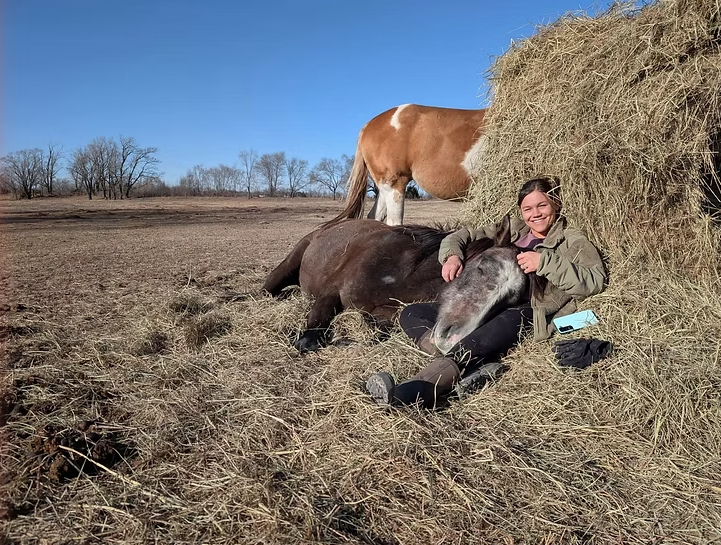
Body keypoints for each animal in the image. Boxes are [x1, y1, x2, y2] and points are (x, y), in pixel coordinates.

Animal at [263, 216, 537, 354]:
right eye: (482, 266)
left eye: (507, 301)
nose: (449, 340)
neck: (402, 274)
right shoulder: (331, 293)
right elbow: (310, 336)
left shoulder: (385, 316)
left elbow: (374, 335)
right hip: (291, 260)